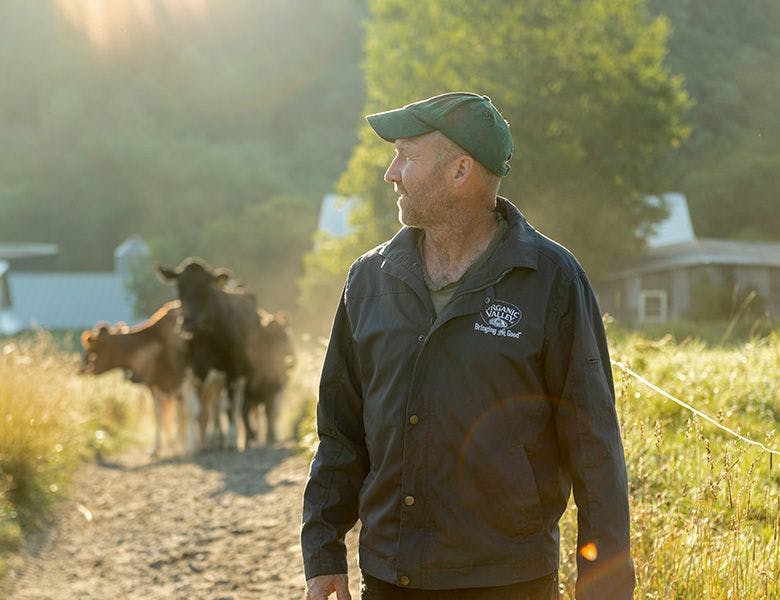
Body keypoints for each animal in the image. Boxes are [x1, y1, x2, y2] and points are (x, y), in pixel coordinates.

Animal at [80, 302, 225, 458]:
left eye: (94, 349)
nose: (81, 369)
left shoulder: (185, 381)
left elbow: (188, 413)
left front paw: (188, 447)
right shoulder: (156, 385)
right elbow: (160, 416)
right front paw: (158, 448)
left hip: (216, 382)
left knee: (213, 410)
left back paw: (214, 441)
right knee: (206, 411)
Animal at [156, 258, 296, 450]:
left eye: (207, 289)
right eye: (179, 288)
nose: (188, 323)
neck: (202, 340)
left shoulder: (233, 373)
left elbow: (229, 408)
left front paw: (231, 440)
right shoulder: (186, 373)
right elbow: (195, 410)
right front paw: (194, 445)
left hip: (244, 379)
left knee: (238, 407)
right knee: (219, 408)